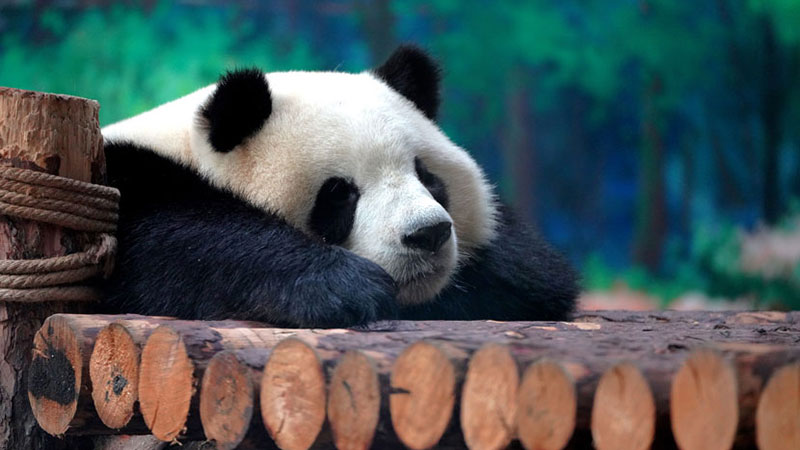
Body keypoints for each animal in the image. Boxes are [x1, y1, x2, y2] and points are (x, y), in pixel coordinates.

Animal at [100, 45, 579, 328]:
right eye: (339, 193)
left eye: (427, 176)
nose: (427, 234)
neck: (184, 148)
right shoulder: (127, 178)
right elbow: (178, 239)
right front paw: (341, 288)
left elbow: (530, 275)